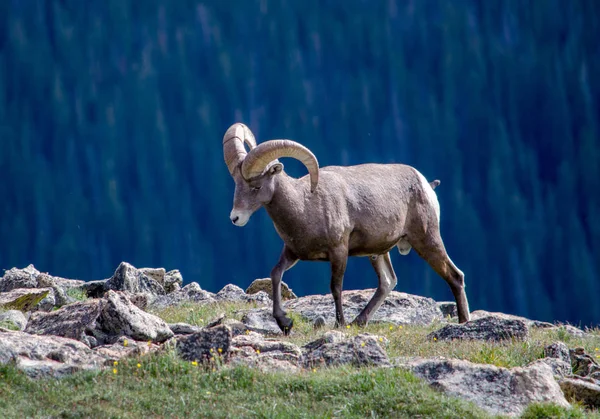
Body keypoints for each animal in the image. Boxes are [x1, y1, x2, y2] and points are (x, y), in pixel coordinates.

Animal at [223, 122, 472, 334]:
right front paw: (284, 323)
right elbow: (275, 274)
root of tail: (425, 184)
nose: (235, 218)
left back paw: (463, 323)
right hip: (378, 253)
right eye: (236, 183)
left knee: (455, 276)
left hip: (426, 240)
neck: (305, 204)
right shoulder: (293, 252)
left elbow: (335, 287)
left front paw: (339, 324)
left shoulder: (339, 252)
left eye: (256, 186)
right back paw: (359, 322)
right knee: (387, 282)